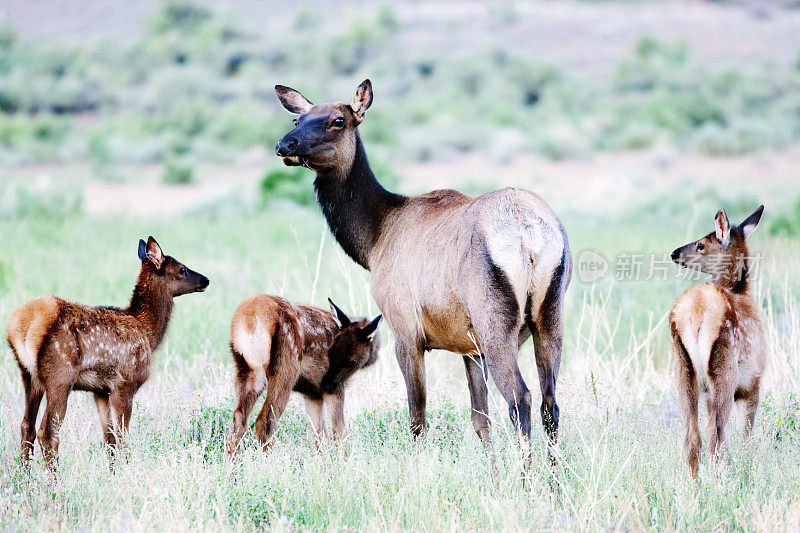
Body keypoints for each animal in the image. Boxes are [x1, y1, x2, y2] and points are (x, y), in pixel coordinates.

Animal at [7, 237, 208, 466]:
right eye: (182, 269)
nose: (206, 280)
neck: (147, 332)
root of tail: (21, 325)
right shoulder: (126, 383)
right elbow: (123, 438)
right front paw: (128, 471)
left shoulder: (101, 390)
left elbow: (109, 439)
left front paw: (114, 472)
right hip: (59, 375)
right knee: (47, 432)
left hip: (28, 375)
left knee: (26, 427)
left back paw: (25, 475)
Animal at [225, 294, 382, 456]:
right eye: (330, 351)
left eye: (353, 360)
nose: (326, 384)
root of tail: (251, 320)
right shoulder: (336, 389)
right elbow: (339, 431)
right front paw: (342, 461)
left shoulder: (312, 393)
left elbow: (320, 435)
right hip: (285, 366)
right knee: (265, 421)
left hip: (247, 368)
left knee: (238, 419)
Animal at [276, 78, 576, 462]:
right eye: (298, 120)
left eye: (338, 121)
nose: (285, 144)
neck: (375, 238)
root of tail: (530, 237)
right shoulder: (469, 348)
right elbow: (480, 421)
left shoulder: (405, 331)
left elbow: (417, 417)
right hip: (550, 316)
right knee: (550, 403)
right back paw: (554, 473)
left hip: (495, 322)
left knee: (520, 398)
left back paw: (527, 475)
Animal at [668, 205, 768, 478]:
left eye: (701, 244)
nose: (674, 253)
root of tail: (697, 311)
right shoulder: (753, 382)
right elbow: (747, 435)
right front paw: (748, 466)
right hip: (724, 368)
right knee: (716, 432)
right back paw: (721, 481)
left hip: (684, 369)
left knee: (692, 434)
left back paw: (693, 484)